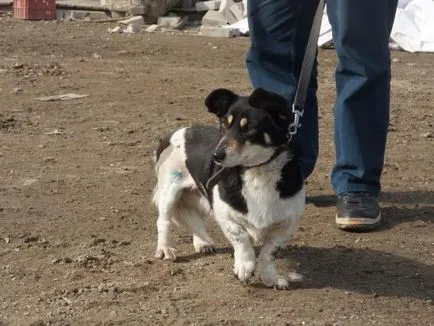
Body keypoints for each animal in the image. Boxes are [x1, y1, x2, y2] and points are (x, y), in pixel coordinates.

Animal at [153, 88, 306, 290]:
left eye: (249, 128)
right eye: (224, 125)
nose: (216, 155)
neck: (257, 172)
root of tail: (175, 133)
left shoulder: (286, 222)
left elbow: (269, 252)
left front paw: (270, 277)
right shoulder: (225, 213)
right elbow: (241, 238)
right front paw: (244, 267)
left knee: (192, 217)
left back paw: (202, 243)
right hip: (169, 192)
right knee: (163, 221)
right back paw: (165, 249)